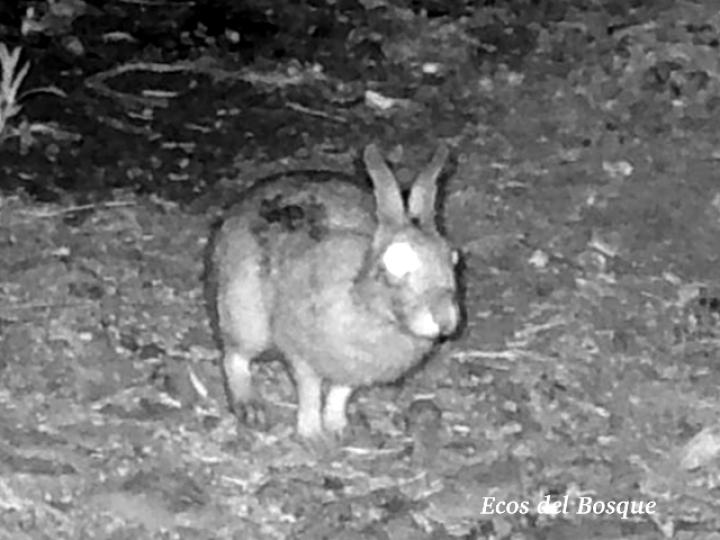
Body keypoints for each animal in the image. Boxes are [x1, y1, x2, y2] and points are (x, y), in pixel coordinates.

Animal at [210, 143, 460, 440]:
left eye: (453, 259)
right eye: (393, 264)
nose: (445, 320)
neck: (362, 301)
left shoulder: (352, 370)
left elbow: (340, 393)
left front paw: (338, 427)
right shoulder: (301, 354)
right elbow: (310, 391)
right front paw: (312, 435)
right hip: (246, 317)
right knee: (234, 358)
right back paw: (250, 407)